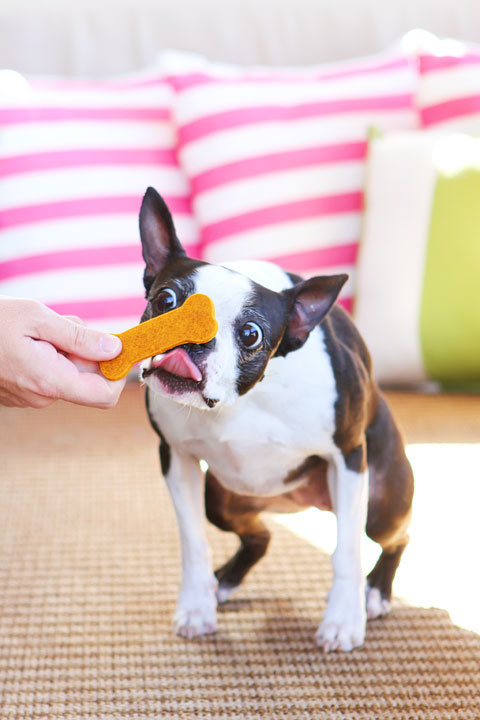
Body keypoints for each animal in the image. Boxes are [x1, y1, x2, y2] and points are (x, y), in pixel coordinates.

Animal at [138, 187, 412, 652]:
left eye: (251, 334)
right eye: (166, 301)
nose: (194, 332)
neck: (245, 399)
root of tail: (297, 502)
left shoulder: (347, 457)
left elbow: (346, 551)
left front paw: (343, 618)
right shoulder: (176, 457)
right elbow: (193, 542)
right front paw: (196, 606)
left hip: (381, 502)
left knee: (394, 537)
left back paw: (375, 591)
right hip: (222, 500)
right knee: (260, 537)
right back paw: (223, 583)